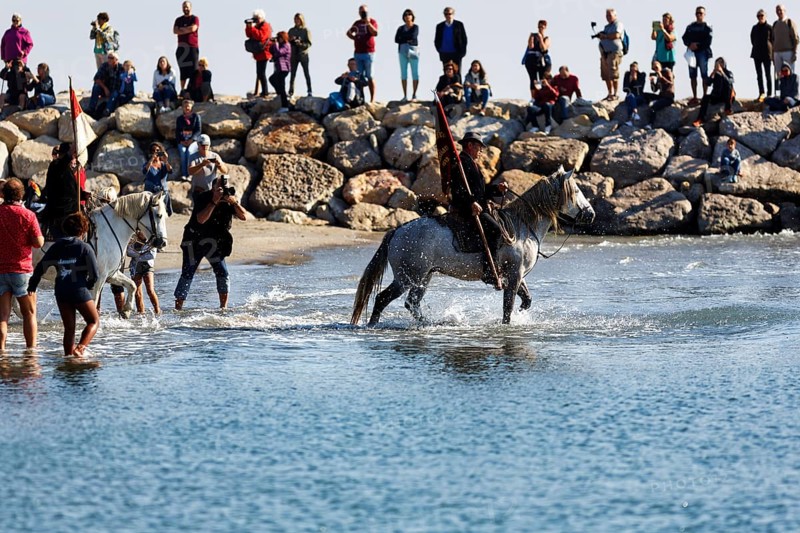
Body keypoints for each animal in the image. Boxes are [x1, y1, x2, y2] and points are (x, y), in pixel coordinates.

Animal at [32, 191, 169, 318]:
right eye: (159, 215)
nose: (163, 242)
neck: (110, 230)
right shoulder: (99, 277)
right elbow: (94, 300)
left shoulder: (111, 274)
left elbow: (132, 285)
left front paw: (126, 310)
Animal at [351, 167, 595, 326]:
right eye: (577, 191)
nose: (591, 214)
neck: (523, 226)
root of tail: (397, 231)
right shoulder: (514, 276)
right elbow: (508, 308)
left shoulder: (517, 275)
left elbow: (526, 300)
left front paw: (522, 312)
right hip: (407, 277)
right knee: (383, 299)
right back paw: (374, 325)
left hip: (422, 277)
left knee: (411, 304)